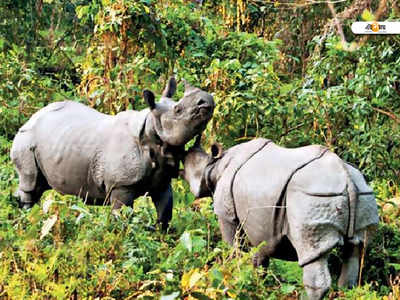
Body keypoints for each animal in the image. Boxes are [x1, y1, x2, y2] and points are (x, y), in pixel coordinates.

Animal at [10, 78, 214, 229]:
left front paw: (161, 238)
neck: (153, 134)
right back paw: (27, 222)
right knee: (30, 182)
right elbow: (123, 217)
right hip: (26, 139)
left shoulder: (162, 181)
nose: (206, 99)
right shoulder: (121, 185)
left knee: (38, 186)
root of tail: (31, 118)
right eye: (178, 110)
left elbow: (164, 215)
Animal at [181, 137, 378, 298]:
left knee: (311, 252)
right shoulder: (261, 227)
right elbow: (260, 256)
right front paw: (258, 284)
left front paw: (233, 276)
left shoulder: (226, 214)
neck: (217, 164)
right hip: (364, 193)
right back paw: (346, 289)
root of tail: (347, 178)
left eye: (190, 169)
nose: (179, 173)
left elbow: (234, 249)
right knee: (356, 246)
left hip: (313, 195)